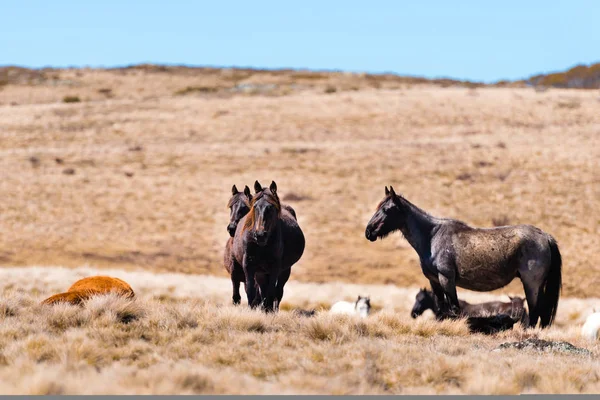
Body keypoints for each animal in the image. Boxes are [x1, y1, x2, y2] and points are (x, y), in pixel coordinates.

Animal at [366, 187, 564, 328]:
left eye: (386, 209)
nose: (369, 232)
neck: (432, 237)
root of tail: (545, 236)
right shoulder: (434, 281)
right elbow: (442, 308)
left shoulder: (447, 279)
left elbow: (454, 308)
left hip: (532, 284)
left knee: (535, 312)